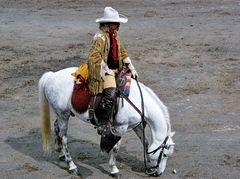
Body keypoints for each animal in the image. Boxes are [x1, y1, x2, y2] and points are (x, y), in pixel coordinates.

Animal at [38, 67, 175, 178]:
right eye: (165, 155)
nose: (159, 173)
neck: (137, 101)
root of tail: (51, 76)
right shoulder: (120, 127)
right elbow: (115, 148)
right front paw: (114, 169)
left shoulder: (137, 125)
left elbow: (145, 143)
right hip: (63, 115)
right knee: (64, 138)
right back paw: (72, 166)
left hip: (62, 114)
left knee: (57, 128)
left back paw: (61, 154)